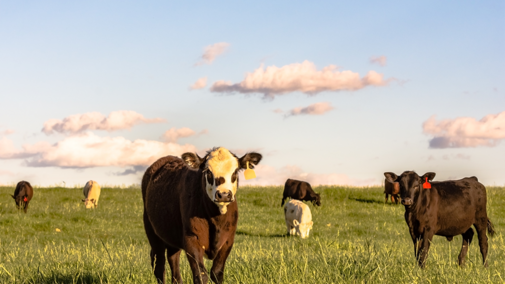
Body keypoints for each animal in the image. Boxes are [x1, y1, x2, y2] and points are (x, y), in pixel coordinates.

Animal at [141, 148, 260, 282]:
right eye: (208, 171)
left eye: (235, 171)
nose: (224, 195)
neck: (216, 220)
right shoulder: (191, 239)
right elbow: (201, 275)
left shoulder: (228, 240)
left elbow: (217, 273)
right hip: (152, 231)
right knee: (159, 265)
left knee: (173, 260)